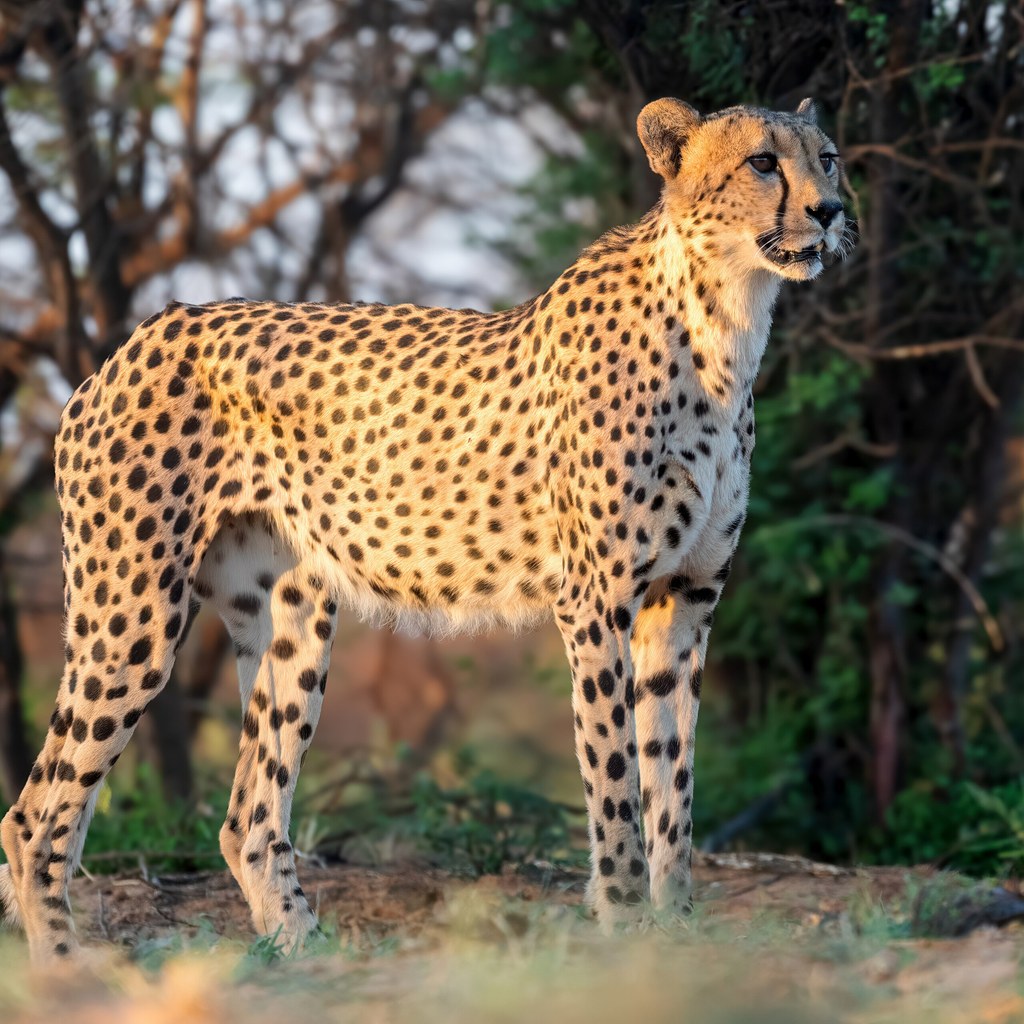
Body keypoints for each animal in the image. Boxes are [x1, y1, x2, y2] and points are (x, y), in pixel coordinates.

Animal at [0, 96, 852, 963]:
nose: (830, 211)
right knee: (34, 815)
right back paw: (66, 964)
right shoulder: (596, 602)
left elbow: (671, 781)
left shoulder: (684, 600)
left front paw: (677, 933)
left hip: (293, 621)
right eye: (761, 162)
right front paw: (622, 925)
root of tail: (139, 337)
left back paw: (309, 954)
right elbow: (614, 781)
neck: (725, 320)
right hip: (131, 617)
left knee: (247, 819)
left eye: (827, 157)